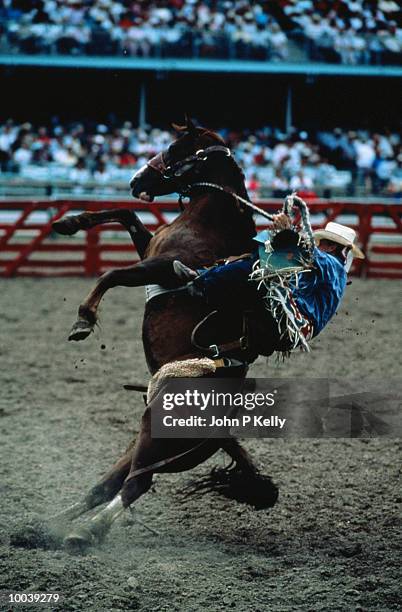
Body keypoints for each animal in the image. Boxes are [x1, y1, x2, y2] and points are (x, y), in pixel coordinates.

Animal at [51, 117, 280, 552]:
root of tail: (222, 432)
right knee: (110, 485)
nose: (135, 179)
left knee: (135, 484)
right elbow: (126, 215)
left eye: (175, 147)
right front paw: (69, 222)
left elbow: (112, 273)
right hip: (145, 439)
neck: (211, 219)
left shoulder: (164, 265)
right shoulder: (150, 250)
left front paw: (83, 321)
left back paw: (83, 532)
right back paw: (41, 526)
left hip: (160, 441)